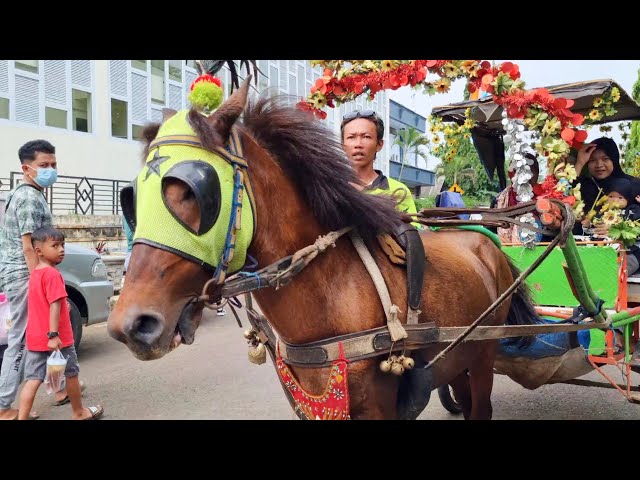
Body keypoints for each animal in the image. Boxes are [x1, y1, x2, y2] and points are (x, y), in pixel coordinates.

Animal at [107, 80, 536, 418]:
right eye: (131, 199)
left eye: (192, 192)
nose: (131, 325)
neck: (332, 291)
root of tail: (488, 244)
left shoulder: (378, 406)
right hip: (458, 361)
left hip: (482, 355)